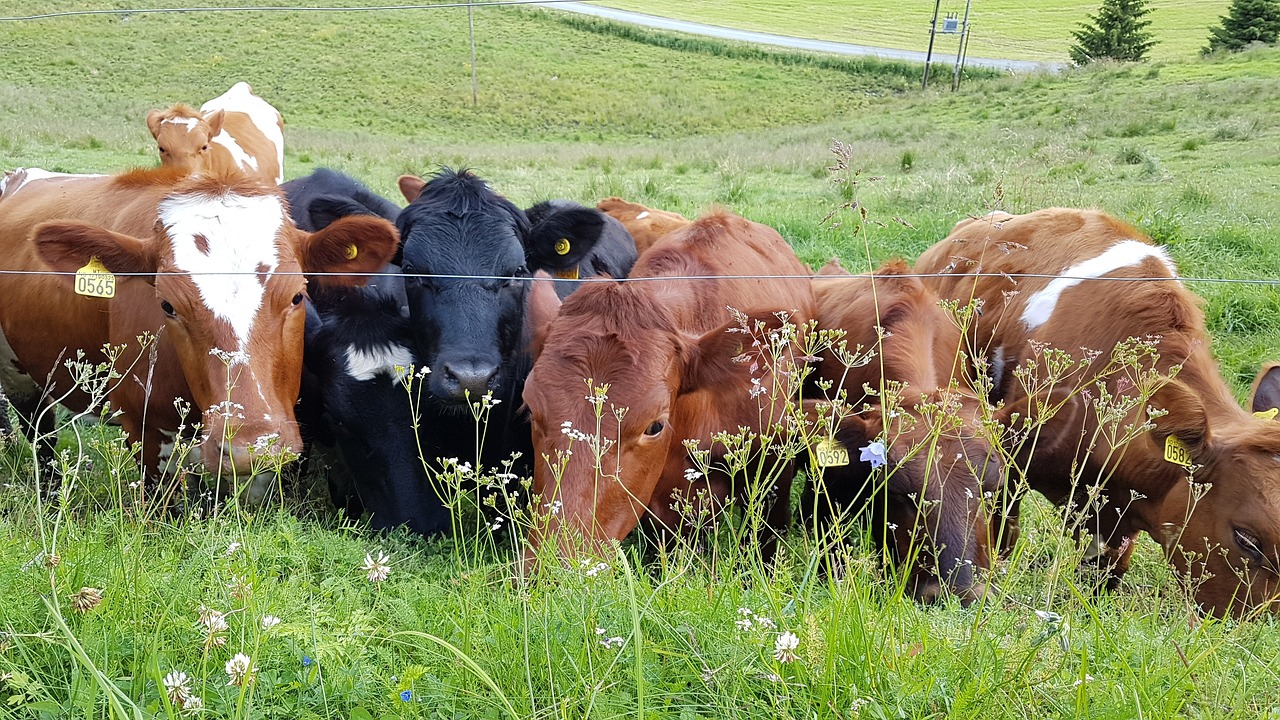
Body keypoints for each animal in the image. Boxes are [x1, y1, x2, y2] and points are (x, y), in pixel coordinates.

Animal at [0, 166, 396, 491]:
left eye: (298, 296)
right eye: (167, 306)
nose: (247, 447)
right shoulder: (145, 432)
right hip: (17, 376)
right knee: (39, 432)